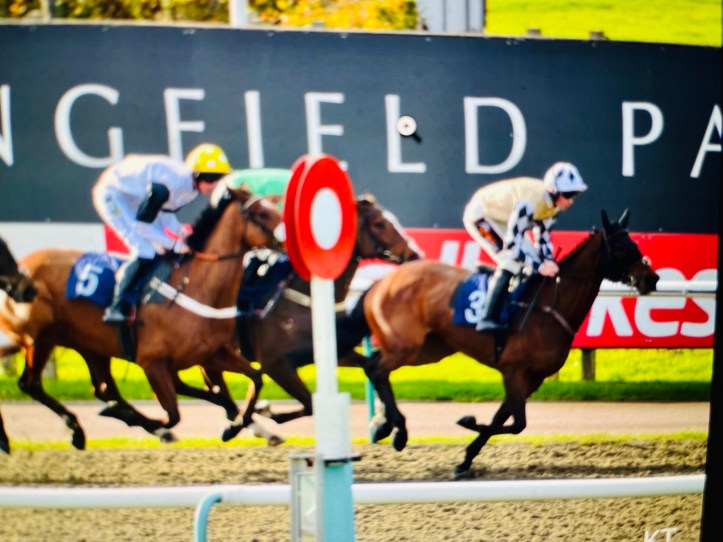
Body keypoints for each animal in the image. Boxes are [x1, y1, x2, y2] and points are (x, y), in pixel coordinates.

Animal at [0, 187, 284, 449]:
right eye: (261, 213)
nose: (286, 237)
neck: (194, 287)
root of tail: (23, 271)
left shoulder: (210, 354)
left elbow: (255, 379)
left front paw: (240, 425)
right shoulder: (153, 363)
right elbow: (174, 414)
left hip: (90, 345)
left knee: (102, 389)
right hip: (39, 340)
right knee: (31, 384)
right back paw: (79, 429)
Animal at [174, 193, 425, 439]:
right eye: (379, 224)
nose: (415, 254)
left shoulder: (331, 352)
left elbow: (371, 368)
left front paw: (388, 424)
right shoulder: (275, 363)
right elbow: (309, 403)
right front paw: (263, 413)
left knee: (213, 383)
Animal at [337, 209, 660, 477]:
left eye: (635, 243)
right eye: (621, 247)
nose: (652, 278)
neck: (548, 307)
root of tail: (381, 282)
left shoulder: (532, 378)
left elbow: (505, 417)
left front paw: (465, 460)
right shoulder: (513, 369)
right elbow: (517, 424)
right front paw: (466, 421)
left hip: (427, 348)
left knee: (373, 365)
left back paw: (383, 424)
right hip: (407, 345)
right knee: (376, 369)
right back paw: (398, 430)